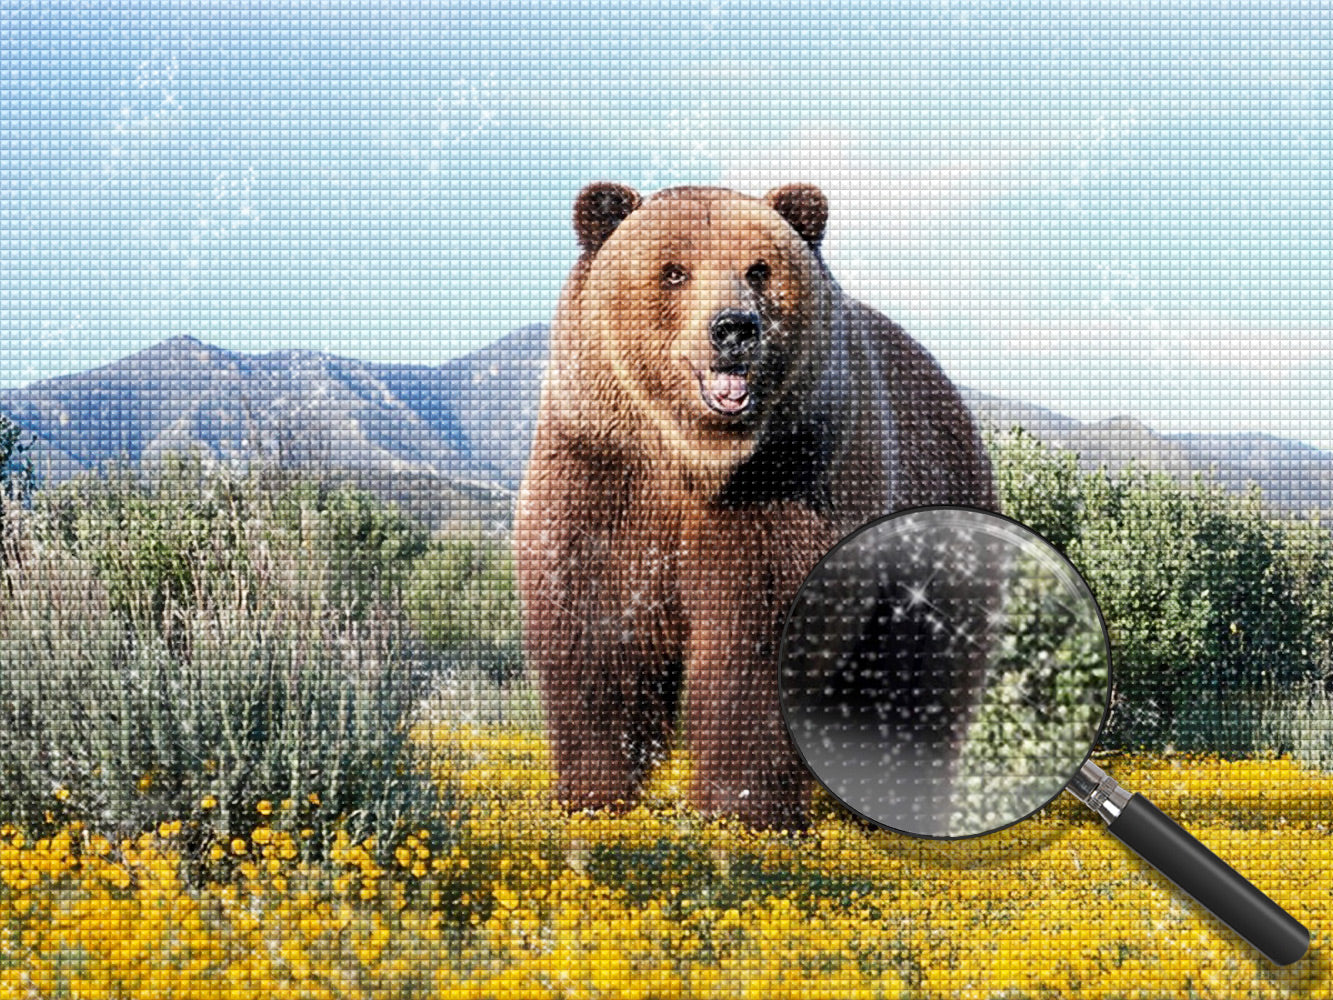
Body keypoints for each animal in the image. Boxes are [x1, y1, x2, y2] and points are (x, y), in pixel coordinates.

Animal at [515, 182, 996, 830]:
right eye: (673, 271)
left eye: (759, 269)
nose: (733, 328)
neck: (696, 459)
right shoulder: (606, 472)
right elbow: (601, 625)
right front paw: (595, 789)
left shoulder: (788, 479)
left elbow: (756, 635)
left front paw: (742, 804)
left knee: (915, 685)